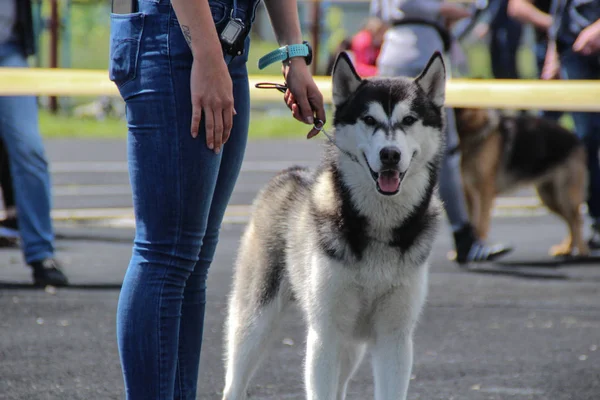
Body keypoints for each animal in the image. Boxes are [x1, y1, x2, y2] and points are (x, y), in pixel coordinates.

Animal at [223, 51, 448, 398]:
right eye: (369, 120)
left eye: (410, 120)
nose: (390, 154)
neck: (379, 226)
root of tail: (289, 174)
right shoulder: (326, 334)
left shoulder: (395, 339)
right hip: (254, 319)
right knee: (235, 380)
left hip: (351, 345)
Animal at [454, 107, 584, 256]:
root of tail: (576, 138)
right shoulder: (468, 193)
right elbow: (472, 222)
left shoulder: (484, 192)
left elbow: (481, 224)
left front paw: (479, 247)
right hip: (550, 199)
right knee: (571, 222)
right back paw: (568, 249)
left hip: (565, 197)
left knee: (577, 221)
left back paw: (582, 252)